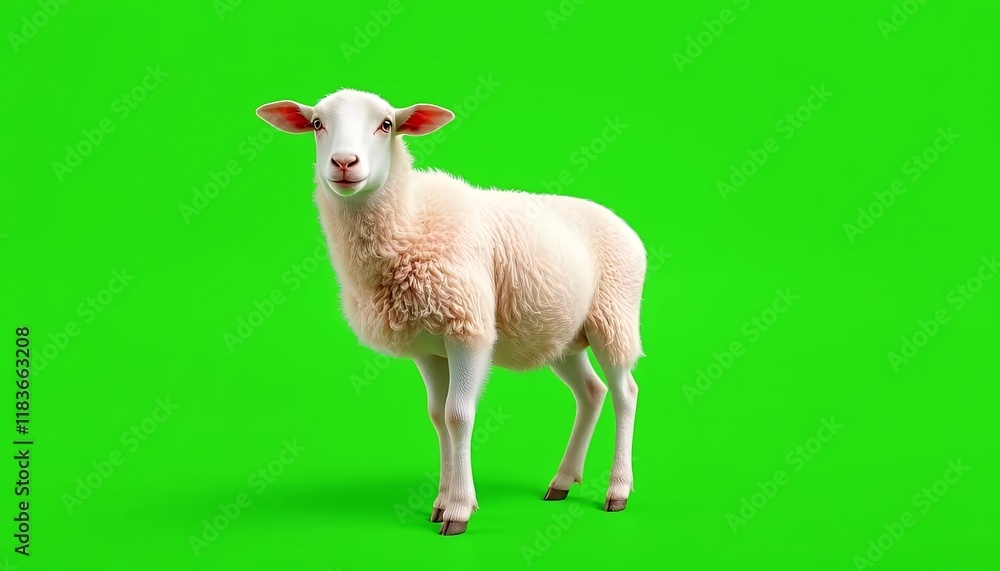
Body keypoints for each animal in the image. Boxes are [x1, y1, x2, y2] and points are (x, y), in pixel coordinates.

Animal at [256, 89, 646, 536]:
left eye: (386, 124)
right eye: (317, 124)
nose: (343, 163)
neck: (410, 221)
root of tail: (628, 229)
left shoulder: (468, 329)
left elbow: (458, 415)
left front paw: (459, 509)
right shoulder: (428, 347)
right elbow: (437, 417)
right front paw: (440, 504)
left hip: (614, 317)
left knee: (625, 393)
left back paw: (618, 490)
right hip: (562, 335)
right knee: (591, 392)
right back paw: (562, 482)